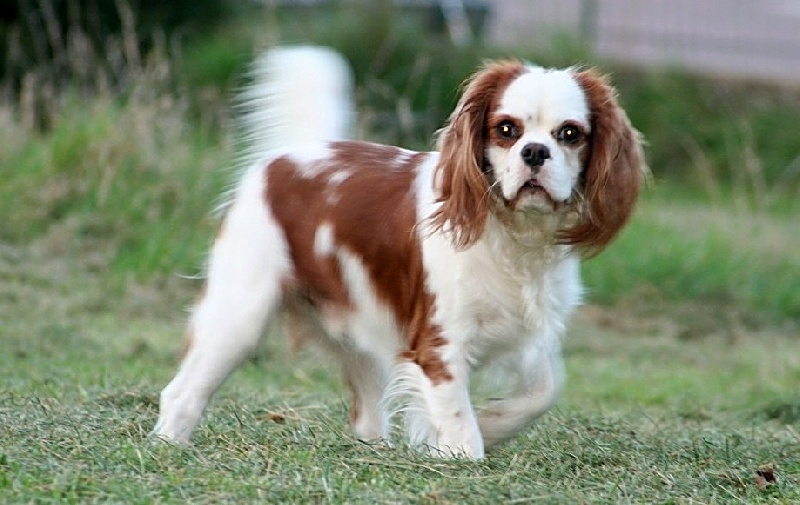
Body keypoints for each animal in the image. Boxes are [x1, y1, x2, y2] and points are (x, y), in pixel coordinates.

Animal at [153, 47, 648, 456]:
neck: (515, 236)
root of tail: (287, 155)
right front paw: (462, 450)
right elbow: (460, 423)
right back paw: (167, 445)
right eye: (506, 130)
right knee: (181, 392)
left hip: (360, 331)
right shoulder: (438, 345)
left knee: (366, 410)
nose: (535, 152)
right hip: (239, 316)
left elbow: (545, 390)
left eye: (570, 133)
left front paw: (492, 425)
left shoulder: (530, 333)